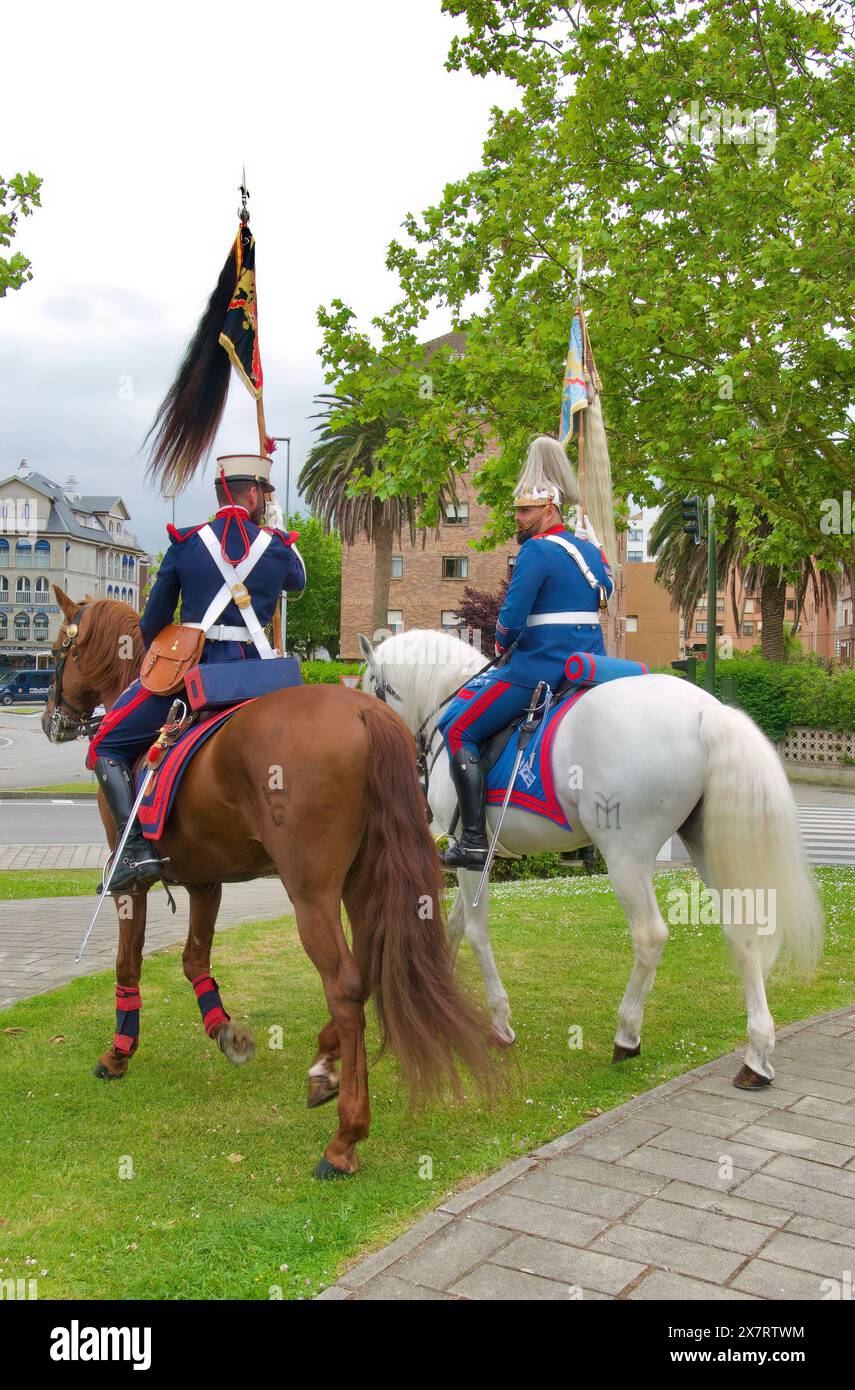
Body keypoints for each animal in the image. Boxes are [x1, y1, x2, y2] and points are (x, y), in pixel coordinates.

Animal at [43, 586, 492, 1173]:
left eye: (59, 650)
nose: (52, 720)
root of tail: (361, 713)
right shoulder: (205, 880)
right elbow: (195, 959)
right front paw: (224, 1030)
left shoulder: (131, 885)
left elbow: (128, 962)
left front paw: (118, 1053)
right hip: (363, 880)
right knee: (369, 965)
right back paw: (325, 1067)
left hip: (310, 893)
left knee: (345, 984)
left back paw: (345, 1138)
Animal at [355, 625, 823, 1089]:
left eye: (369, 691)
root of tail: (705, 710)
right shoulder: (475, 865)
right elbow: (455, 925)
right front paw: (444, 999)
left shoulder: (471, 854)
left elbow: (474, 931)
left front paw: (499, 1022)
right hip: (705, 849)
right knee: (743, 933)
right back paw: (757, 1055)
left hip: (626, 859)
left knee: (650, 937)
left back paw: (627, 1034)